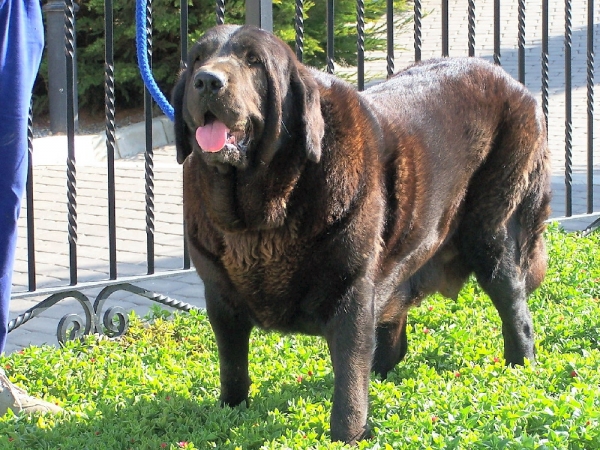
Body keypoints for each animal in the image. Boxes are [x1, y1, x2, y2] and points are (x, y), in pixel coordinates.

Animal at [171, 24, 552, 442]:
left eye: (253, 60)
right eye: (197, 60)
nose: (208, 81)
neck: (258, 218)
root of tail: (512, 83)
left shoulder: (350, 290)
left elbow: (349, 378)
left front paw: (348, 434)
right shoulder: (221, 298)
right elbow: (233, 363)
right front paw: (230, 410)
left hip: (492, 231)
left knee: (514, 306)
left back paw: (519, 365)